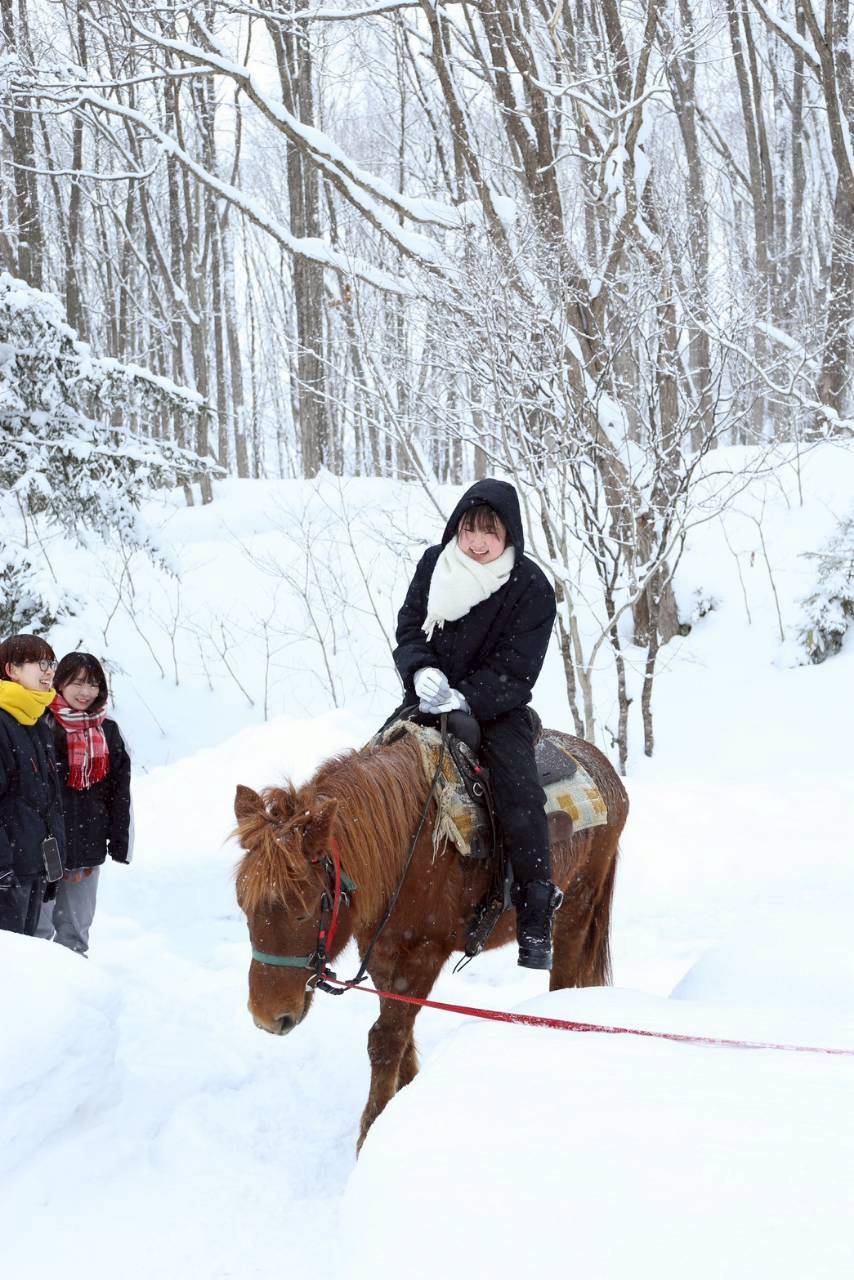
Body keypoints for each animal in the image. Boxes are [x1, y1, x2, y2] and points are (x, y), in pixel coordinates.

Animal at [233, 727, 629, 1149]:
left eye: (306, 908)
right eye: (243, 905)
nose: (268, 1017)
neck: (405, 848)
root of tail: (606, 771)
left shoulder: (424, 954)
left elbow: (385, 1038)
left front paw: (370, 1134)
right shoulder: (381, 951)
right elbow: (399, 1034)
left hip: (576, 908)